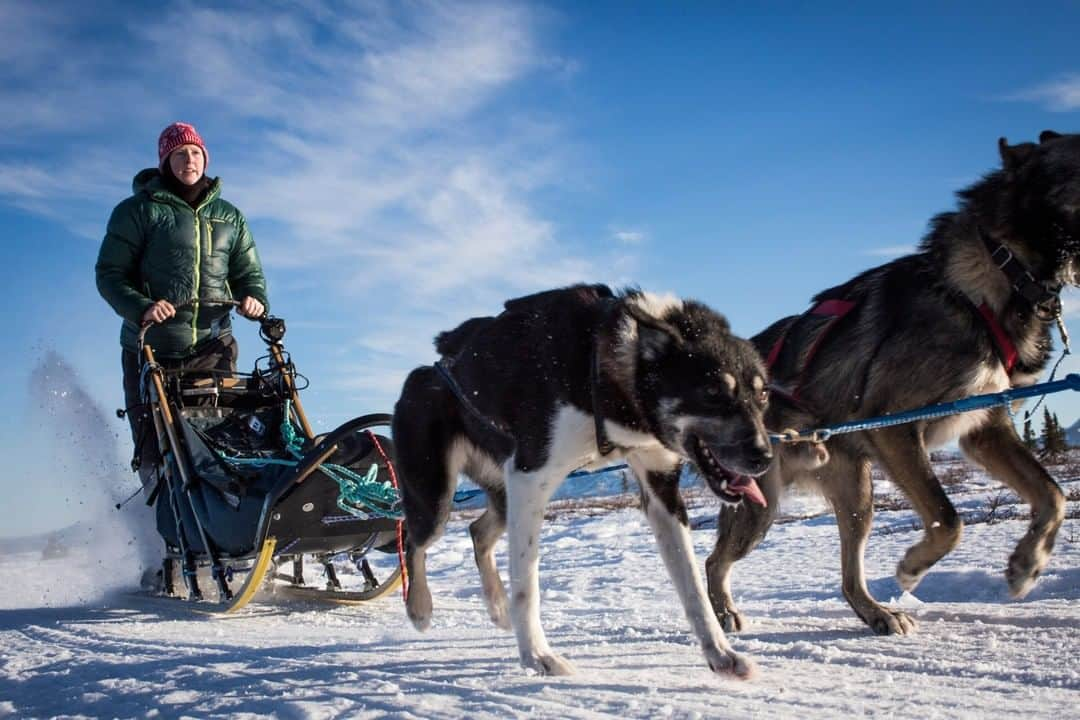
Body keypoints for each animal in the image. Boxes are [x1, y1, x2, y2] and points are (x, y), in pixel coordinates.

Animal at [393, 284, 773, 677]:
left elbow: (693, 586)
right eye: (712, 392)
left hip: (501, 496)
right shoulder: (530, 479)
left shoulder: (660, 484)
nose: (764, 456)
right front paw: (537, 657)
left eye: (763, 393)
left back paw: (497, 606)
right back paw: (419, 607)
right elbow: (526, 586)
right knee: (412, 539)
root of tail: (425, 372)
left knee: (478, 531)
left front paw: (720, 653)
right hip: (437, 498)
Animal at [708, 129, 1080, 634]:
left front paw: (1027, 565)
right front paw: (912, 566)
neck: (996, 275)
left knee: (849, 577)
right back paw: (723, 613)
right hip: (761, 504)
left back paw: (877, 613)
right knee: (714, 562)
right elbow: (948, 518)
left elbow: (1052, 494)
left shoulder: (985, 430)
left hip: (856, 496)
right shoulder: (895, 425)